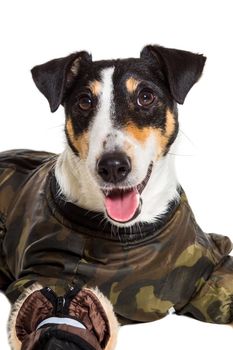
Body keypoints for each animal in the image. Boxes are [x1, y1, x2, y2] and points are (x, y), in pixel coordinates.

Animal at [0, 45, 233, 350]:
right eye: (84, 101)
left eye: (146, 96)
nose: (112, 166)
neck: (125, 234)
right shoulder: (45, 277)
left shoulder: (210, 267)